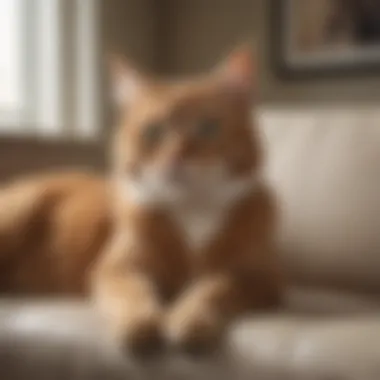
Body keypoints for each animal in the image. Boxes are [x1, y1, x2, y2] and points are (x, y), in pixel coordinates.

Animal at [0, 46, 282, 356]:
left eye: (208, 128)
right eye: (153, 131)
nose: (176, 158)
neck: (192, 208)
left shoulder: (261, 280)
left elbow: (212, 289)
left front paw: (190, 319)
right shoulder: (117, 270)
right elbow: (134, 294)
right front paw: (140, 324)